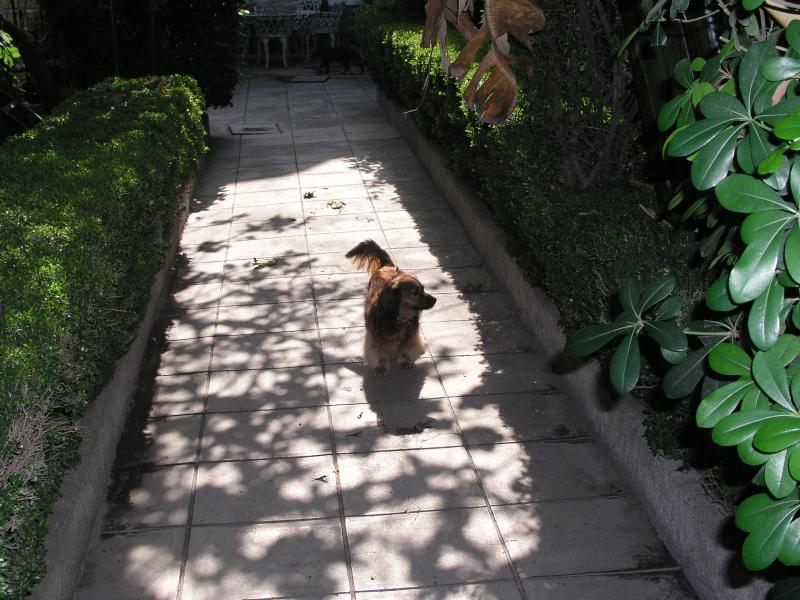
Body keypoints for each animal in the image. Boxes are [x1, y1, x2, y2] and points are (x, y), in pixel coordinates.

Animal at [345, 240, 436, 374]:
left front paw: (406, 361)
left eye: (423, 289)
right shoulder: (375, 337)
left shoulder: (411, 334)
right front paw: (381, 367)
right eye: (415, 292)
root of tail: (387, 265)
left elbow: (409, 348)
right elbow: (380, 353)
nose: (435, 300)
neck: (396, 316)